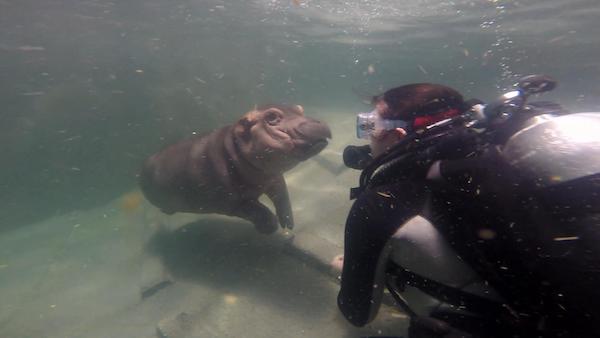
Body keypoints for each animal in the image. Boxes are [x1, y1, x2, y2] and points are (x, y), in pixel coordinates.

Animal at [138, 104, 330, 234]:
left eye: (300, 109)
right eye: (272, 116)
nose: (319, 123)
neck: (233, 149)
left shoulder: (274, 177)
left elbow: (283, 197)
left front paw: (288, 224)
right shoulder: (231, 203)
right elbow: (257, 210)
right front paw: (270, 227)